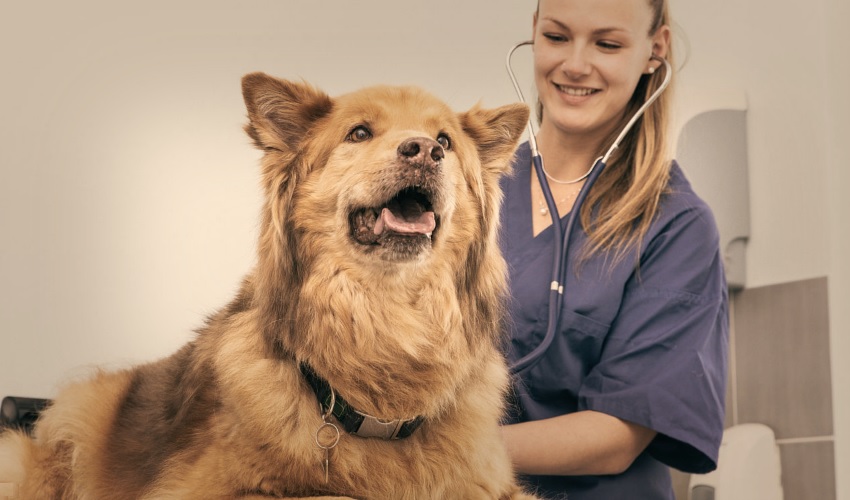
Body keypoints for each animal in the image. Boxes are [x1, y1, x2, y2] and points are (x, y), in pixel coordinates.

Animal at [0, 72, 528, 498]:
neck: (387, 319)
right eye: (359, 133)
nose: (425, 151)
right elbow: (331, 494)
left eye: (446, 141)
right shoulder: (200, 489)